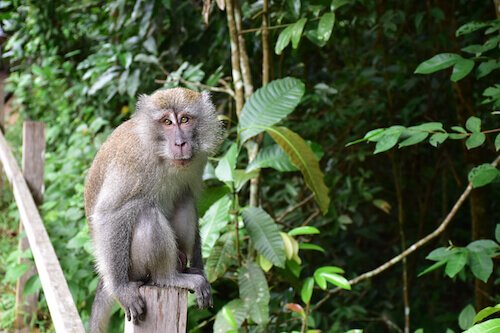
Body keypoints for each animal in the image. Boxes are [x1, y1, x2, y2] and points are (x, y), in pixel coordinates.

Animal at [84, 87, 223, 330]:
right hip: (134, 269)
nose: (180, 143)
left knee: (184, 198)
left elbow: (191, 196)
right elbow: (109, 214)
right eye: (167, 122)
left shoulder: (197, 161)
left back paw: (185, 270)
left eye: (185, 120)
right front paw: (120, 290)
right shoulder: (133, 162)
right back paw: (168, 278)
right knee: (146, 214)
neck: (160, 154)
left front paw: (199, 268)